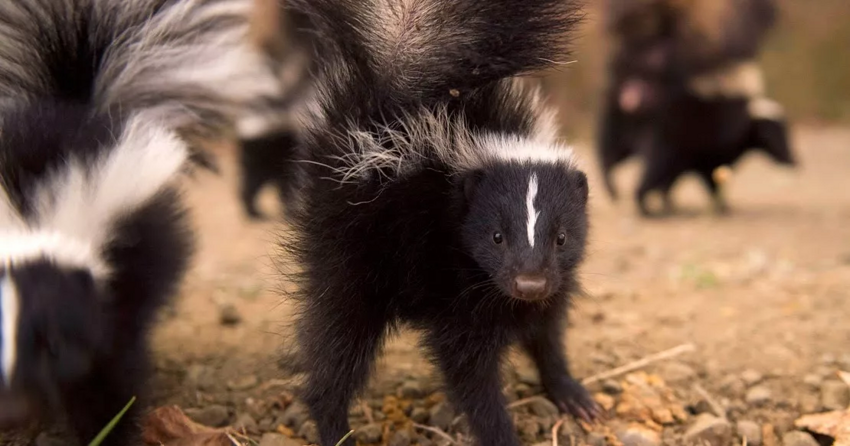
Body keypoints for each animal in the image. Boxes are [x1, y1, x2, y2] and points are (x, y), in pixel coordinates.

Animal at [0, 0, 274, 442]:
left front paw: (108, 433)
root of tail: (75, 105)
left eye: (52, 344)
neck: (23, 220)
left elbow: (107, 373)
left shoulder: (108, 293)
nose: (10, 411)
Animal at [280, 0, 596, 446]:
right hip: (349, 253)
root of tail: (387, 110)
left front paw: (569, 391)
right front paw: (501, 433)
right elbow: (469, 373)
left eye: (562, 237)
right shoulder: (456, 287)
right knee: (339, 344)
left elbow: (546, 336)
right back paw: (335, 428)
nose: (529, 283)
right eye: (496, 237)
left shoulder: (553, 285)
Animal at [596, 0, 796, 216]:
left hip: (617, 110)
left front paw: (669, 202)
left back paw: (613, 190)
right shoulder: (706, 150)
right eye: (775, 134)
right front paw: (722, 207)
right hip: (663, 129)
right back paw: (644, 207)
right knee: (649, 169)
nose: (794, 161)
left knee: (610, 152)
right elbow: (707, 180)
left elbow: (671, 183)